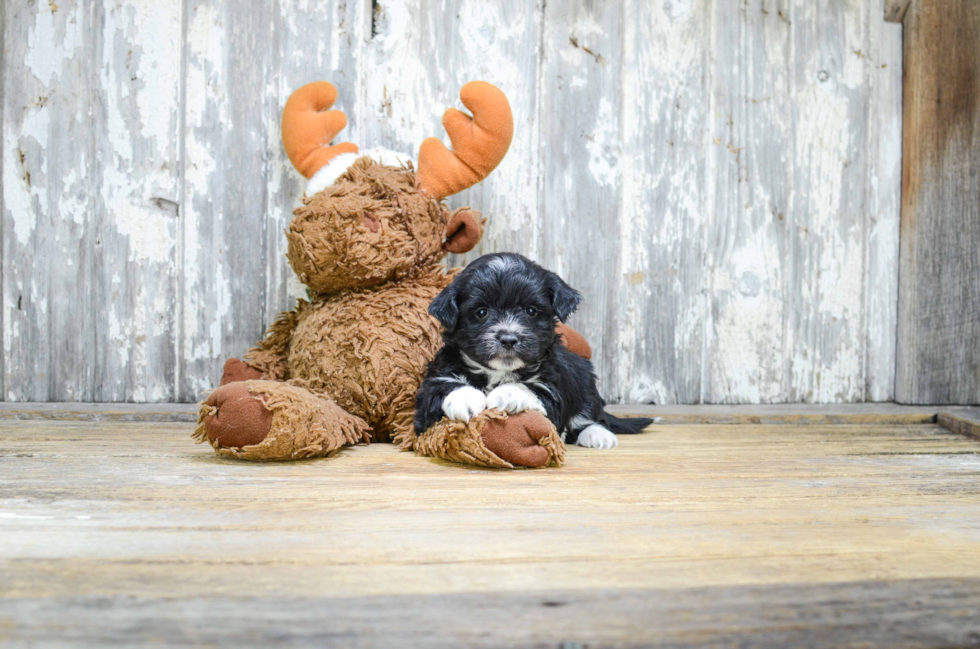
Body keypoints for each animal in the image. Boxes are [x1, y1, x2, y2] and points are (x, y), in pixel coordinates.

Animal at [414, 252, 652, 446]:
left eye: (530, 311)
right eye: (481, 312)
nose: (508, 339)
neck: (497, 372)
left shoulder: (552, 387)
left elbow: (534, 389)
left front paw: (508, 392)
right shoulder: (434, 381)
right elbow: (440, 388)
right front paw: (465, 397)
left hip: (585, 381)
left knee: (590, 414)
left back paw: (597, 434)